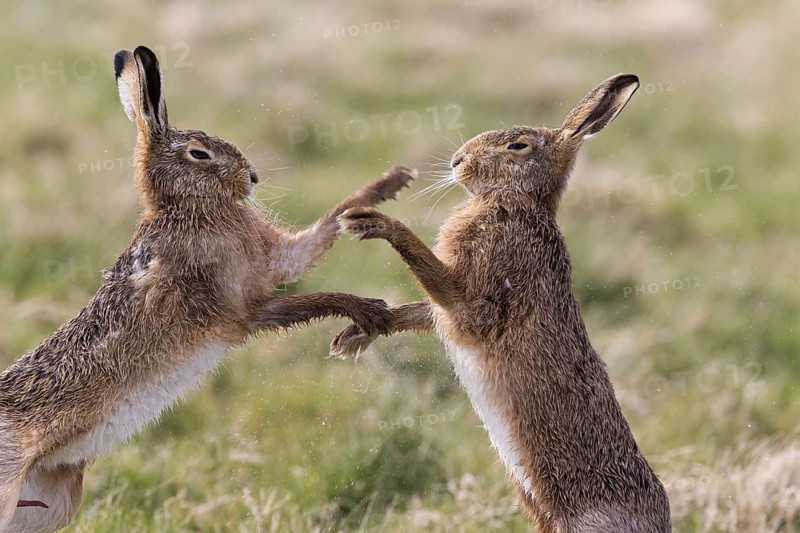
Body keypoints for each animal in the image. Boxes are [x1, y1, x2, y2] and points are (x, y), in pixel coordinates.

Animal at [0, 45, 413, 533]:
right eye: (199, 153)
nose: (252, 177)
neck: (186, 207)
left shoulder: (275, 262)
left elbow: (326, 226)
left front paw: (390, 183)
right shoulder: (241, 307)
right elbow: (310, 299)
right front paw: (370, 311)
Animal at [331, 74, 672, 532]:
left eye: (518, 146)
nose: (457, 160)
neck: (517, 202)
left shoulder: (478, 302)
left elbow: (433, 276)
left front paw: (372, 221)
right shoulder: (448, 307)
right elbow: (420, 309)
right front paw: (354, 335)